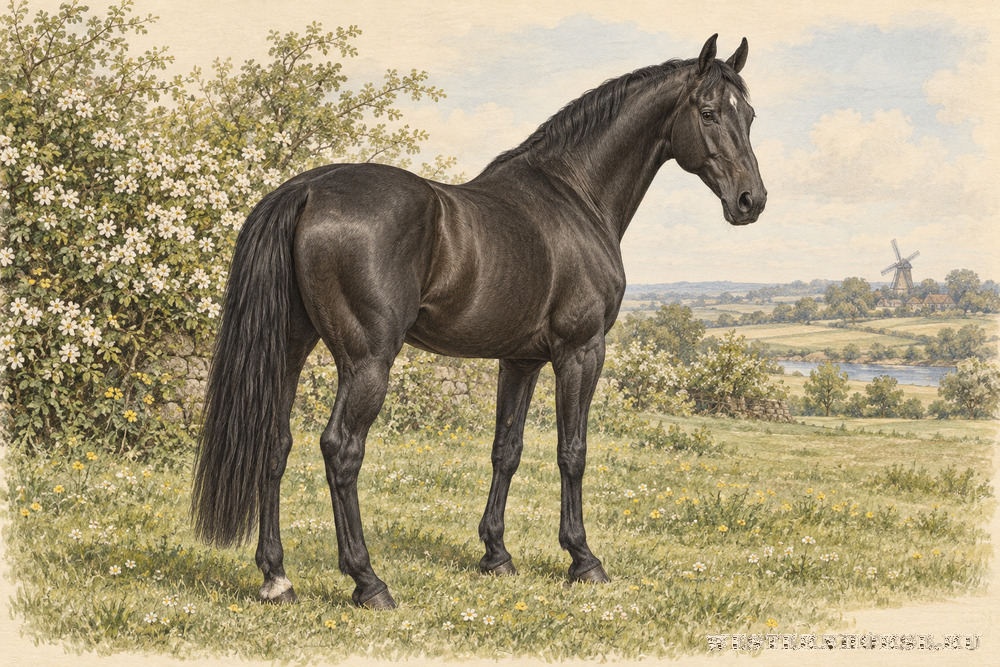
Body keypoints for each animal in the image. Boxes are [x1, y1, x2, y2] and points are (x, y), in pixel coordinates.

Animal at [191, 34, 766, 610]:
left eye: (750, 115)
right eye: (709, 112)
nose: (751, 201)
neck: (576, 196)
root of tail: (309, 189)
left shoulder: (521, 360)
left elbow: (505, 451)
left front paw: (496, 555)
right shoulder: (581, 351)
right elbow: (572, 452)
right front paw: (583, 559)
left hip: (290, 348)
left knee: (275, 442)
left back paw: (276, 577)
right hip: (367, 361)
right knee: (341, 449)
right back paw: (368, 581)